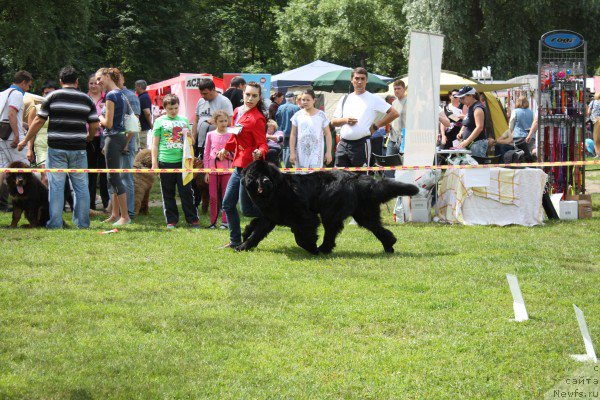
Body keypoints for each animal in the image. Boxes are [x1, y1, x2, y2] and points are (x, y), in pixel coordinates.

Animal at [241, 159, 420, 253]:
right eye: (256, 175)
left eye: (268, 175)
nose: (266, 181)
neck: (277, 191)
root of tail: (357, 179)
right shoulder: (269, 216)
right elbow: (256, 231)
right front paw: (243, 244)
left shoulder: (305, 216)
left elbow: (302, 236)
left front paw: (311, 247)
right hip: (364, 213)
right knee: (377, 227)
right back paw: (389, 244)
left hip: (331, 211)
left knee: (331, 231)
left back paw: (322, 249)